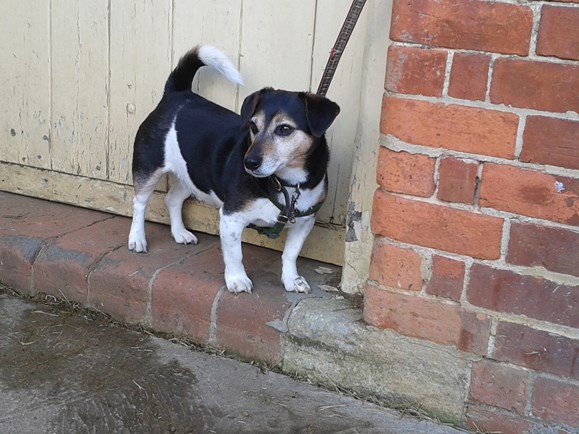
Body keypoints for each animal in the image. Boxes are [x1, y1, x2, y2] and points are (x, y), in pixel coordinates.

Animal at [128, 45, 340, 294]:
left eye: (285, 129)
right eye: (253, 126)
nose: (249, 163)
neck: (286, 183)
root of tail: (178, 95)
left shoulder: (305, 222)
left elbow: (290, 254)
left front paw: (291, 280)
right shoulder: (231, 218)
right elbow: (235, 255)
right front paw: (237, 279)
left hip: (193, 174)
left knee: (172, 199)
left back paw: (180, 233)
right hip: (148, 169)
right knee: (139, 204)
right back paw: (137, 239)